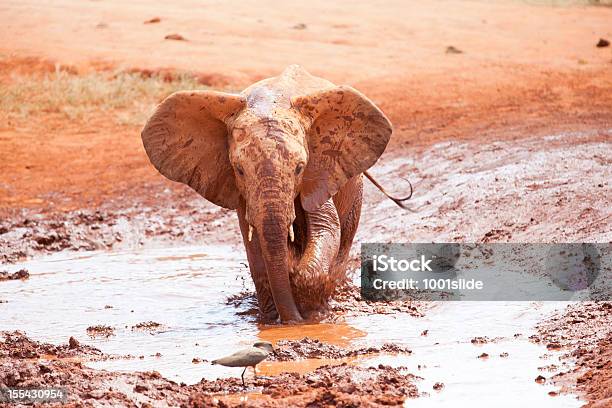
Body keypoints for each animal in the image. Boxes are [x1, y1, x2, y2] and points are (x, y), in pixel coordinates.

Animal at [141, 65, 392, 324]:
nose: (294, 321)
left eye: (299, 168)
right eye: (239, 170)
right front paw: (273, 319)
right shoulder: (243, 194)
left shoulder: (318, 171)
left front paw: (313, 311)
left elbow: (327, 226)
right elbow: (254, 247)